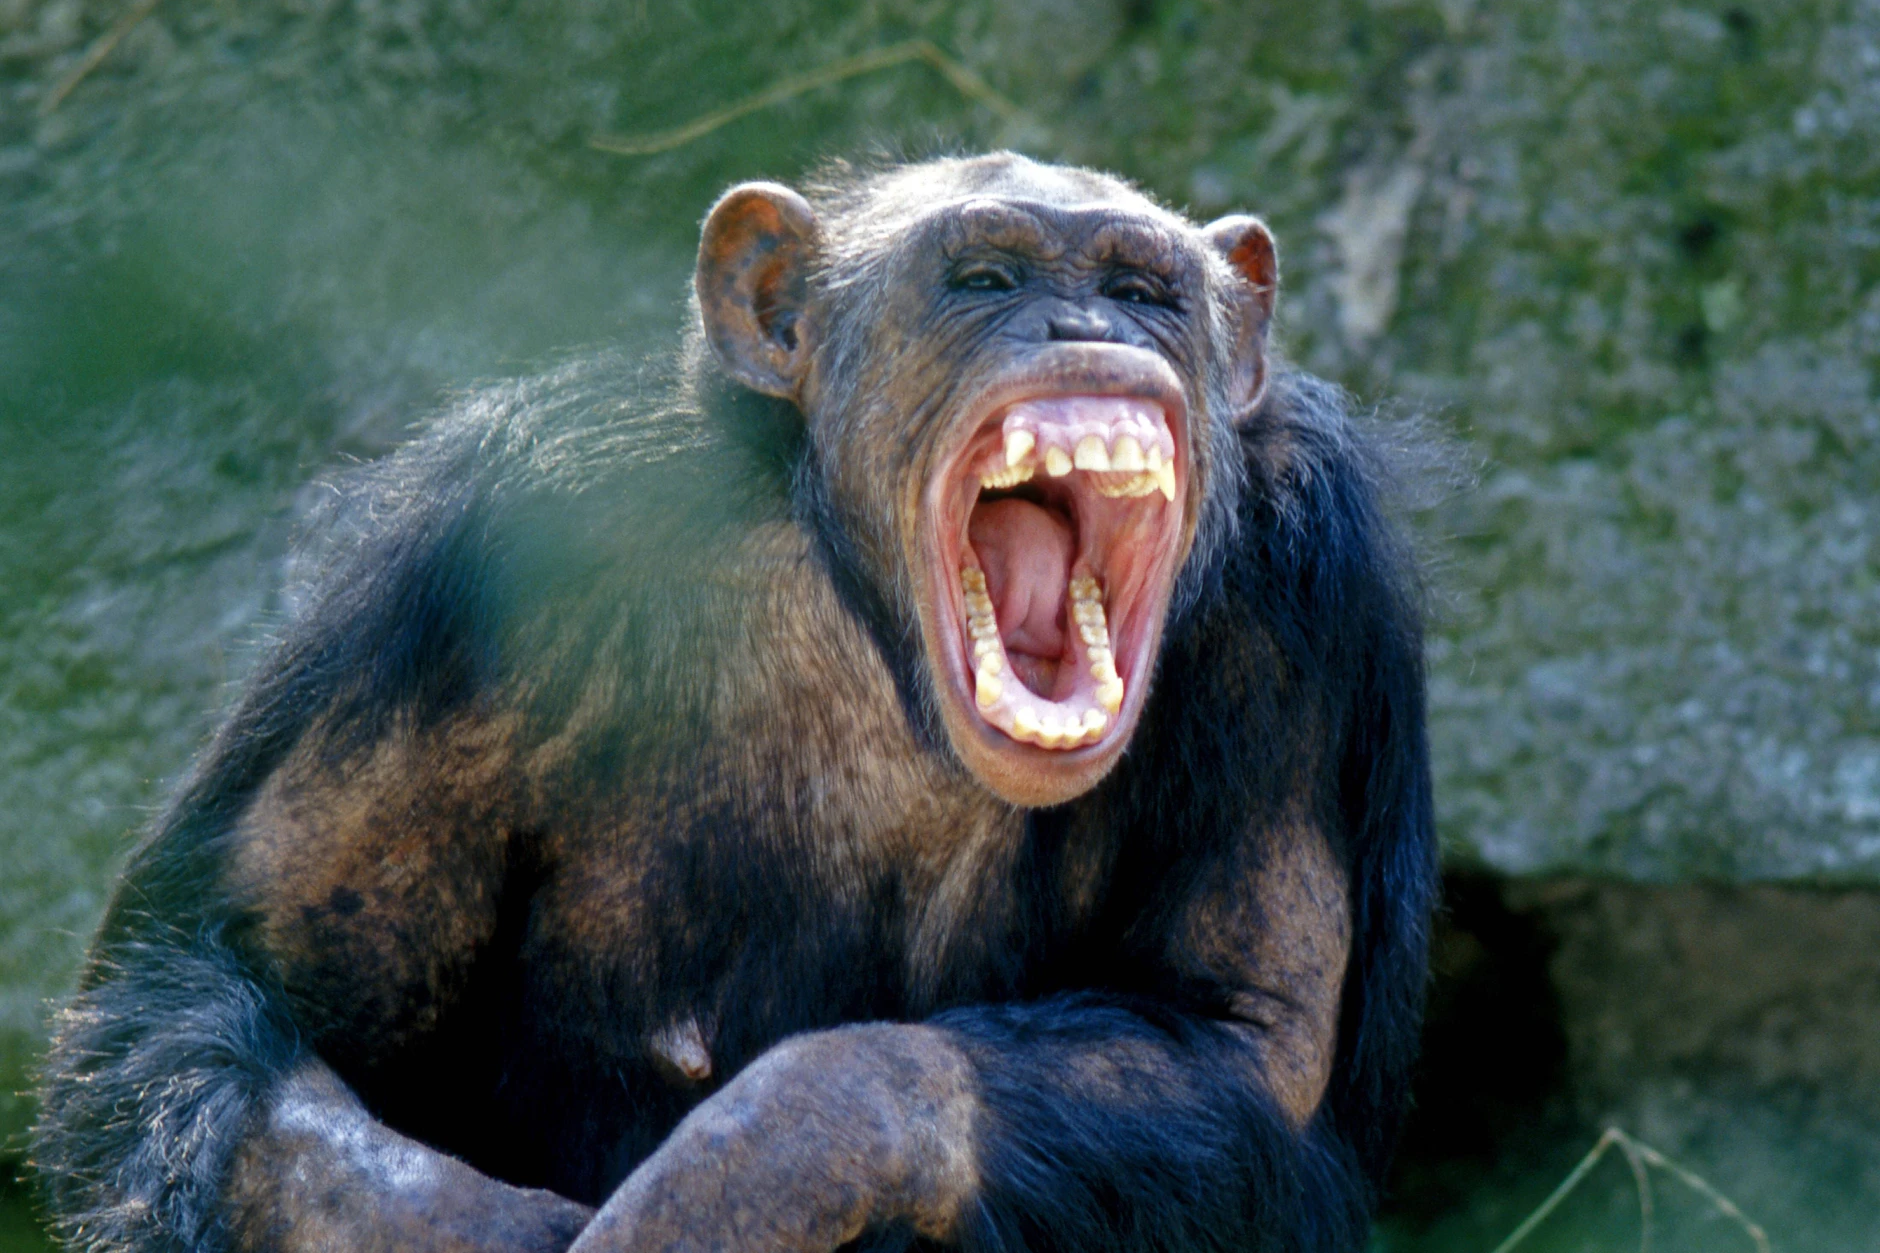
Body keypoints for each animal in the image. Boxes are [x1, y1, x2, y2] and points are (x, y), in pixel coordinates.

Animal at [33, 152, 1436, 1253]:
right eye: (985, 281)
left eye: (1143, 293)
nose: (1094, 334)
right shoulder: (476, 555)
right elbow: (219, 974)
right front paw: (472, 1228)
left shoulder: (1307, 598)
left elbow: (1238, 1031)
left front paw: (766, 1158)